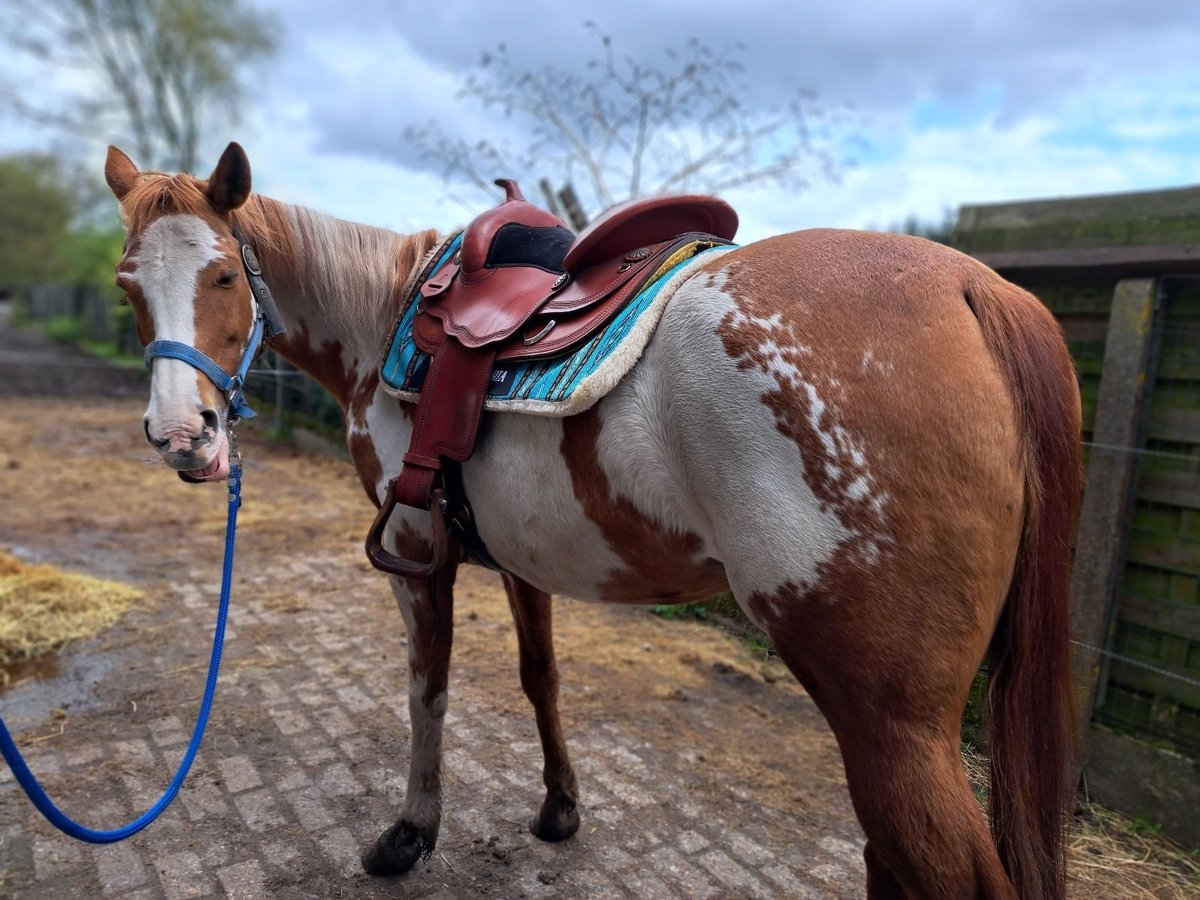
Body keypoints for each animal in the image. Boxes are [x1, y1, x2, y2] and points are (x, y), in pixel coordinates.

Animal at [103, 142, 1080, 900]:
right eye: (128, 287)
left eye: (223, 275)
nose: (183, 435)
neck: (385, 318)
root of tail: (976, 289)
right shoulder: (521, 557)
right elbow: (542, 680)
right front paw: (559, 807)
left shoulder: (418, 557)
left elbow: (429, 690)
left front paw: (412, 832)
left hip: (891, 720)